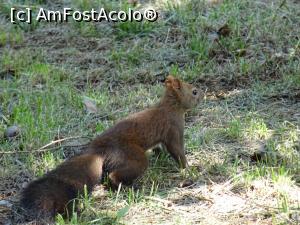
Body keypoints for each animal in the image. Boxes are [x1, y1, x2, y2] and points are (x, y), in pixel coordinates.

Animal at [20, 75, 199, 221]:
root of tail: (98, 152)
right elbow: (177, 151)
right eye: (195, 91)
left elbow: (161, 148)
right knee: (114, 175)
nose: (203, 94)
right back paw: (128, 187)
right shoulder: (174, 129)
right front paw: (190, 168)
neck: (169, 106)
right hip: (133, 157)